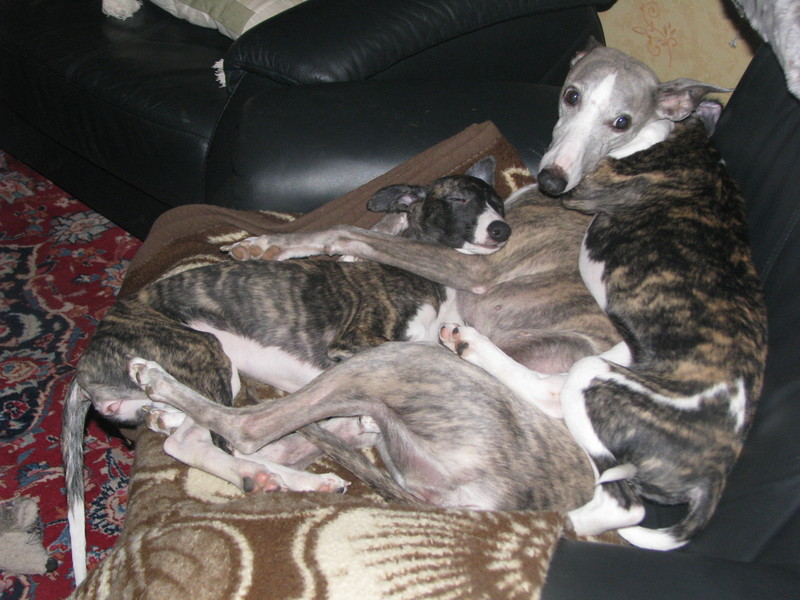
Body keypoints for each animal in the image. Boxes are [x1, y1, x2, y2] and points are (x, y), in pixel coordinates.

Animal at [63, 158, 508, 584]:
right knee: (203, 441)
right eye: (458, 199)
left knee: (193, 434)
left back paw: (286, 476)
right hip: (207, 352)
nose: (502, 230)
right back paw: (281, 476)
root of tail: (85, 366)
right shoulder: (357, 342)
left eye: (499, 203)